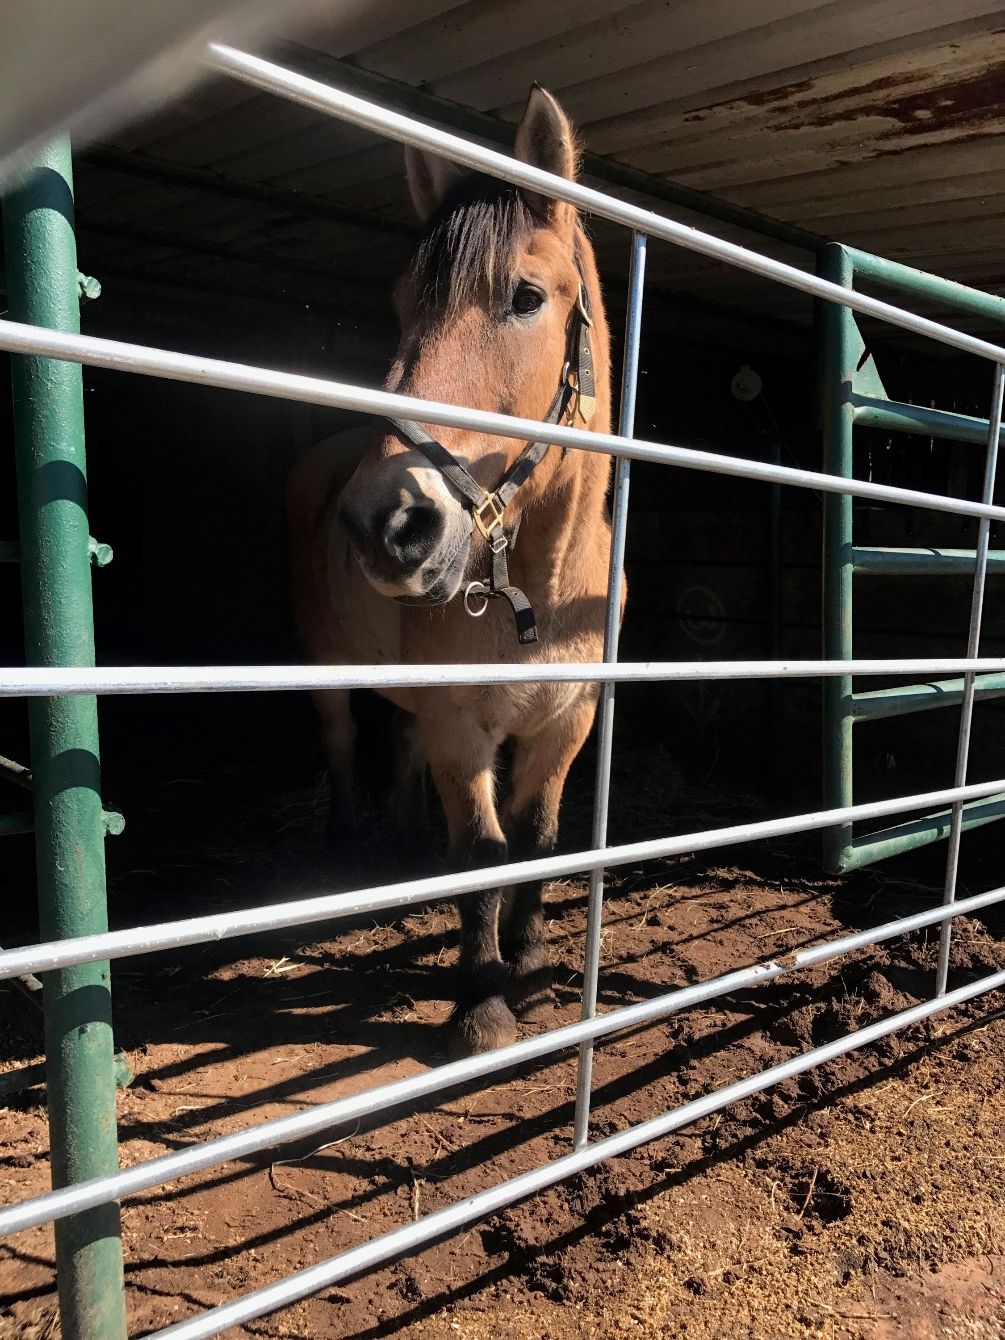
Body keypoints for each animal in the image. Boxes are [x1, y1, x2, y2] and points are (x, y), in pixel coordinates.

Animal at [287, 85, 623, 1058]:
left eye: (525, 296)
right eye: (405, 305)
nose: (386, 525)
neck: (546, 586)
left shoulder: (566, 725)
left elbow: (537, 841)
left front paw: (533, 969)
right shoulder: (459, 726)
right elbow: (481, 850)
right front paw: (481, 1002)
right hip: (325, 672)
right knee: (342, 744)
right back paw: (350, 845)